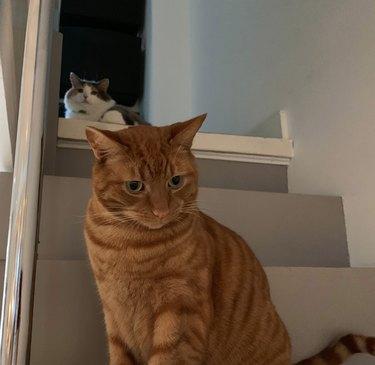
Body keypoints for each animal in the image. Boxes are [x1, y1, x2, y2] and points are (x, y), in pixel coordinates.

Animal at [83, 114, 374, 364]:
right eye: (135, 186)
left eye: (175, 181)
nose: (161, 211)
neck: (128, 243)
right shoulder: (114, 318)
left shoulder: (180, 314)